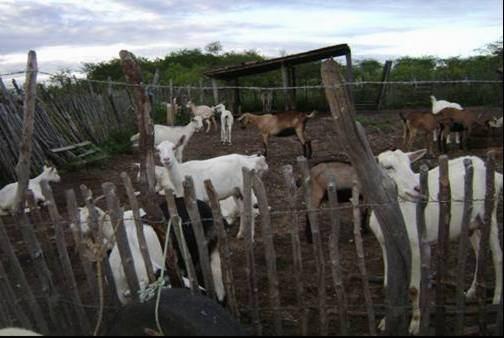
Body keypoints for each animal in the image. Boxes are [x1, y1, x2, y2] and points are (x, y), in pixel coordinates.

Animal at [368, 149, 502, 334]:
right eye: (388, 167)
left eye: (410, 165)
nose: (418, 188)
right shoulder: (384, 244)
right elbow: (388, 284)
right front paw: (385, 322)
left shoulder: (417, 245)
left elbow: (414, 288)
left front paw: (415, 324)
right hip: (472, 223)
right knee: (478, 253)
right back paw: (471, 291)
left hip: (490, 211)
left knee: (497, 255)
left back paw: (496, 298)